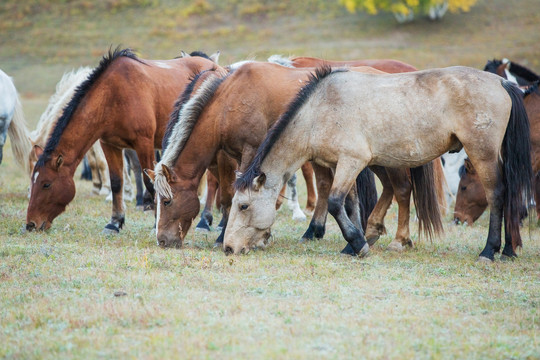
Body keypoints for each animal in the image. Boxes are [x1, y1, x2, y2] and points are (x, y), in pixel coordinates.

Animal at [26, 46, 220, 233]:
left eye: (46, 184)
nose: (30, 224)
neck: (113, 95)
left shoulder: (144, 143)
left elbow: (150, 183)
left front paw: (155, 223)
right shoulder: (109, 144)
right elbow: (116, 182)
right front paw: (115, 222)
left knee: (212, 180)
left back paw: (205, 221)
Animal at [224, 66, 532, 262]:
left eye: (243, 206)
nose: (228, 247)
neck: (319, 110)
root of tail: (502, 83)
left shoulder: (352, 161)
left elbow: (335, 202)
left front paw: (358, 244)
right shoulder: (340, 164)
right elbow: (350, 204)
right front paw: (356, 241)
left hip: (483, 154)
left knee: (497, 194)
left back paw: (489, 251)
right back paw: (508, 250)